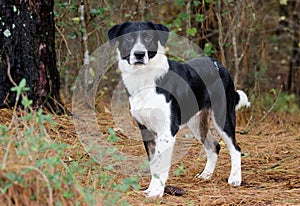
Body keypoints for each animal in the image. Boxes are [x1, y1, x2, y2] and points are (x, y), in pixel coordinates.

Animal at [106, 21, 250, 197]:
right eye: (129, 38)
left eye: (148, 38)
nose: (139, 54)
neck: (145, 77)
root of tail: (220, 65)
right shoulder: (146, 129)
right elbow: (153, 164)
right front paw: (151, 189)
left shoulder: (167, 131)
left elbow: (161, 165)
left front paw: (156, 192)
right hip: (197, 123)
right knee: (214, 146)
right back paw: (206, 175)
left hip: (222, 116)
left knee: (235, 148)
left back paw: (235, 179)